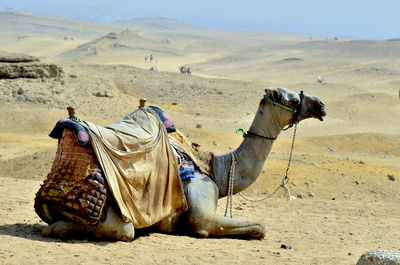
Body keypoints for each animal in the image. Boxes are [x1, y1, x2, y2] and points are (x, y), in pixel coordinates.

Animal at [40, 86, 324, 239]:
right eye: (293, 100)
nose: (320, 104)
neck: (216, 170)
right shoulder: (203, 215)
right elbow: (258, 227)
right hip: (112, 216)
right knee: (122, 230)